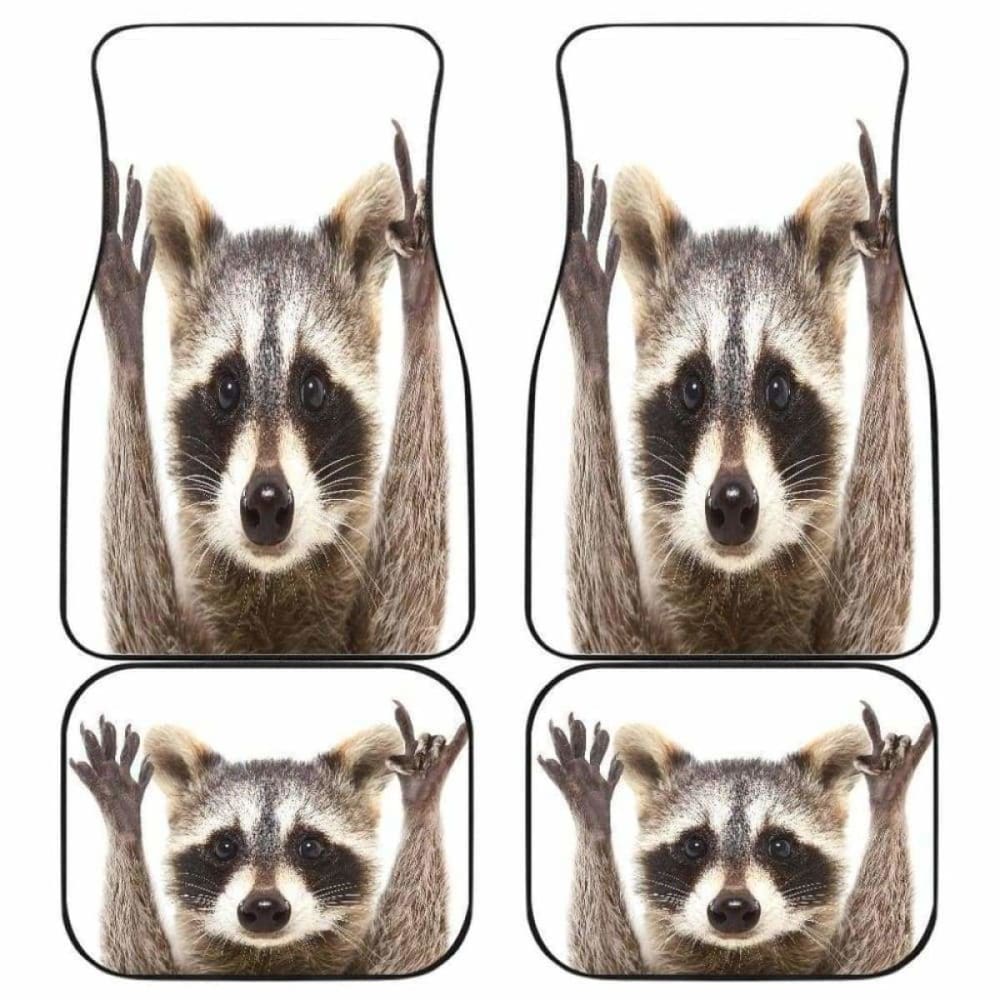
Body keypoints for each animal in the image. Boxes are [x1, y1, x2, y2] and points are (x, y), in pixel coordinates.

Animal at [69, 704, 467, 976]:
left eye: (310, 847)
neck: (267, 955)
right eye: (225, 847)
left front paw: (422, 800)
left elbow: (410, 947)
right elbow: (134, 955)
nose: (263, 908)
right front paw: (123, 819)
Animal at [94, 123, 448, 654]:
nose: (265, 501)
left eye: (313, 389)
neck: (272, 582)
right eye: (227, 388)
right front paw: (125, 333)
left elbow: (409, 599)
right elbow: (140, 619)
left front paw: (420, 295)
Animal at [538, 704, 931, 976]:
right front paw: (592, 818)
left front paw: (888, 801)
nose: (733, 908)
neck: (737, 956)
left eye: (779, 846)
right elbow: (601, 955)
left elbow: (877, 946)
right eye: (694, 845)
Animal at [558, 123, 912, 654]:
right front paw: (590, 334)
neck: (736, 582)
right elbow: (605, 619)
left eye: (778, 388)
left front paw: (885, 298)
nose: (730, 502)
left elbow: (873, 603)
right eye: (692, 388)